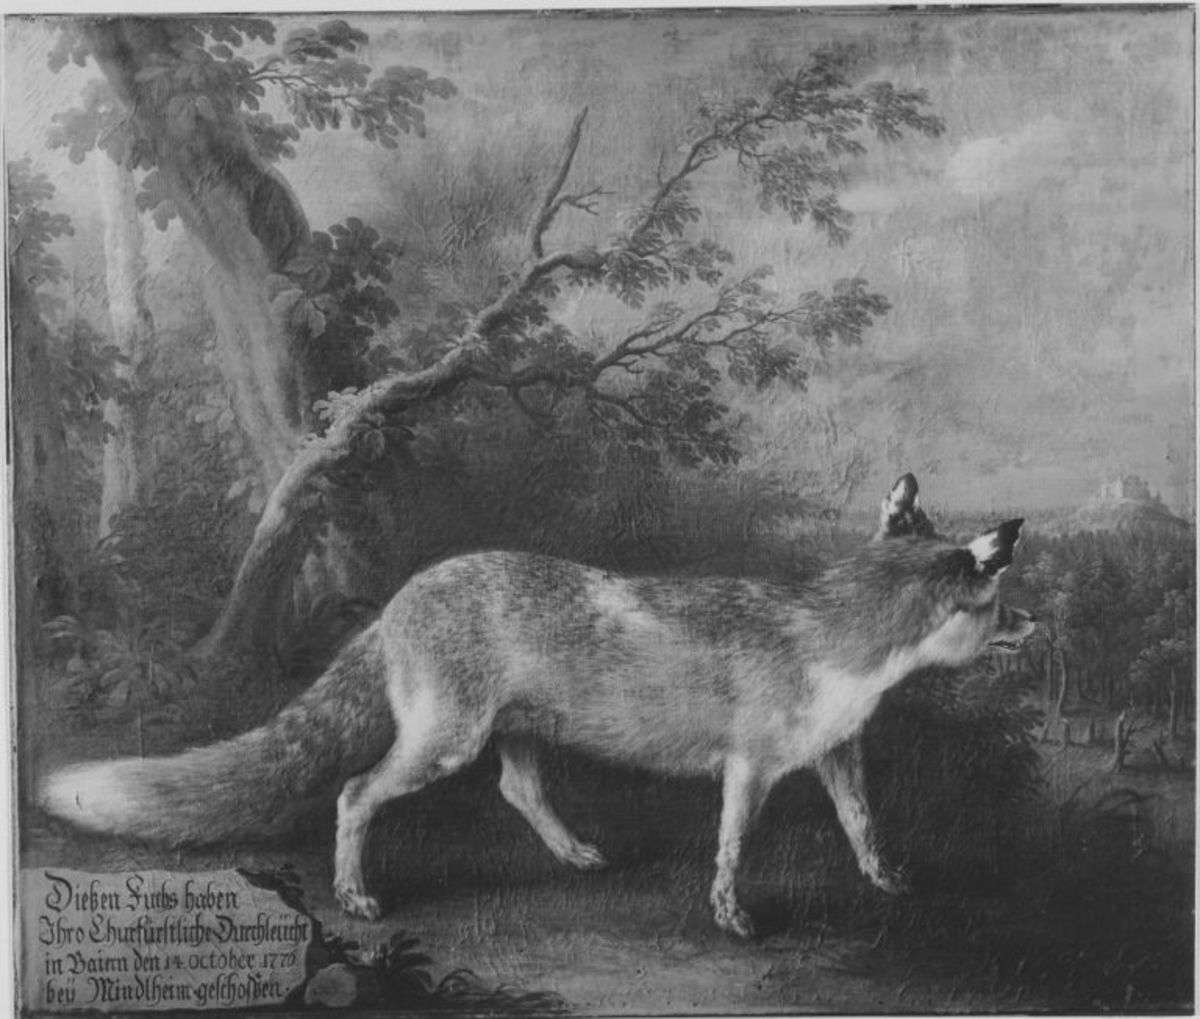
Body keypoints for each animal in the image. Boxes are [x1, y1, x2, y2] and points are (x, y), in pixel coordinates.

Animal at [38, 473, 1035, 938]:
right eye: (994, 604)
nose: (1033, 625)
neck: (832, 637)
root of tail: (398, 598)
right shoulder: (749, 768)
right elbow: (732, 848)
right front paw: (732, 916)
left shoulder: (837, 752)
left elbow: (863, 823)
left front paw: (888, 880)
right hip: (444, 742)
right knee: (354, 794)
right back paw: (357, 892)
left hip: (513, 735)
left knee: (517, 793)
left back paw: (578, 853)